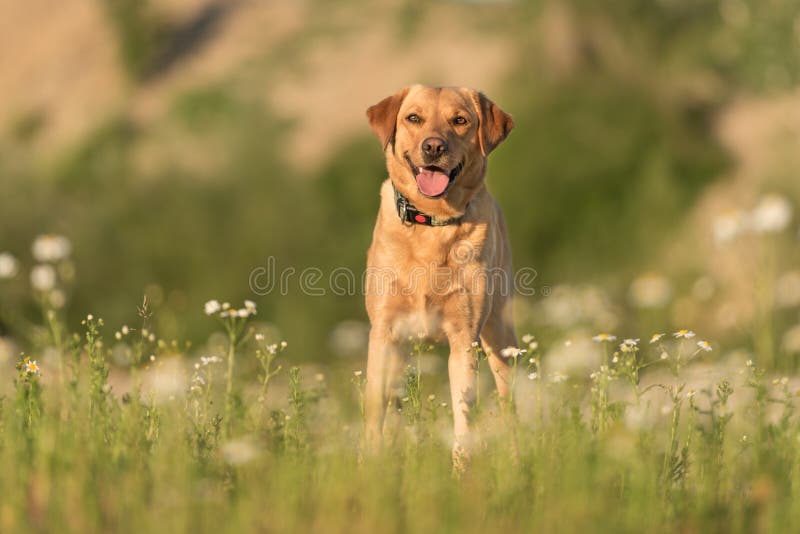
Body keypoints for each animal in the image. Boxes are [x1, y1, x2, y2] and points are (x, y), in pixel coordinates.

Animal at [366, 84, 516, 460]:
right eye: (413, 118)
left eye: (460, 121)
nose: (433, 146)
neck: (431, 223)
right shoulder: (383, 332)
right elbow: (374, 413)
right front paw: (369, 464)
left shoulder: (464, 338)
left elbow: (463, 418)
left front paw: (461, 469)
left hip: (500, 336)